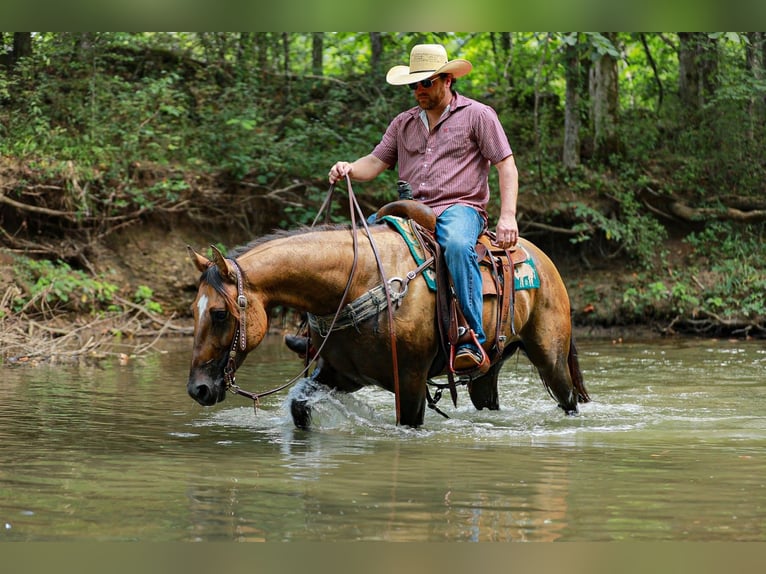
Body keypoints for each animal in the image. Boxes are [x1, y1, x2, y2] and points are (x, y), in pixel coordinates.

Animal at [186, 222, 590, 428]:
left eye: (219, 313)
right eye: (193, 310)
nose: (198, 389)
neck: (355, 282)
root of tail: (543, 260)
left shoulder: (409, 379)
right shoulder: (343, 374)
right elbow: (300, 406)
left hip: (550, 358)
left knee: (568, 398)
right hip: (488, 370)